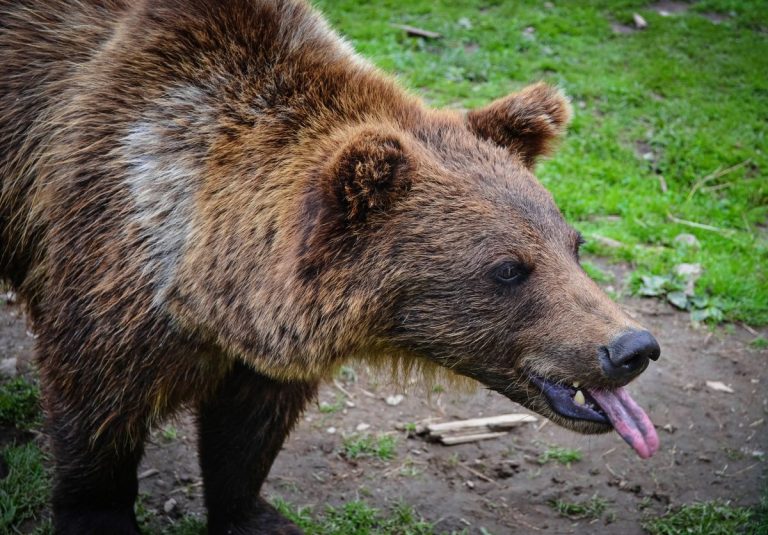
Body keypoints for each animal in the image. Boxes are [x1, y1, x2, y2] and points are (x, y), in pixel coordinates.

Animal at [0, 0, 660, 532]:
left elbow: (248, 431)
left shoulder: (260, 344)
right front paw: (97, 510)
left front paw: (254, 514)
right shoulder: (113, 257)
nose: (632, 347)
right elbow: (97, 412)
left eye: (572, 244)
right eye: (507, 268)